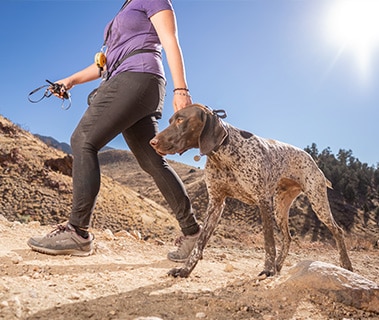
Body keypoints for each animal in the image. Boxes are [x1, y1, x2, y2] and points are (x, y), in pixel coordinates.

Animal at [150, 103, 354, 278]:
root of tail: (312, 160)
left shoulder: (262, 201)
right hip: (280, 207)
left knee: (337, 231)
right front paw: (185, 270)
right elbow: (199, 244)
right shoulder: (216, 203)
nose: (152, 142)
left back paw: (346, 265)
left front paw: (268, 270)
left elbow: (268, 242)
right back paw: (279, 265)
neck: (223, 154)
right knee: (288, 238)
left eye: (180, 120)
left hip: (316, 201)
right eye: (170, 120)